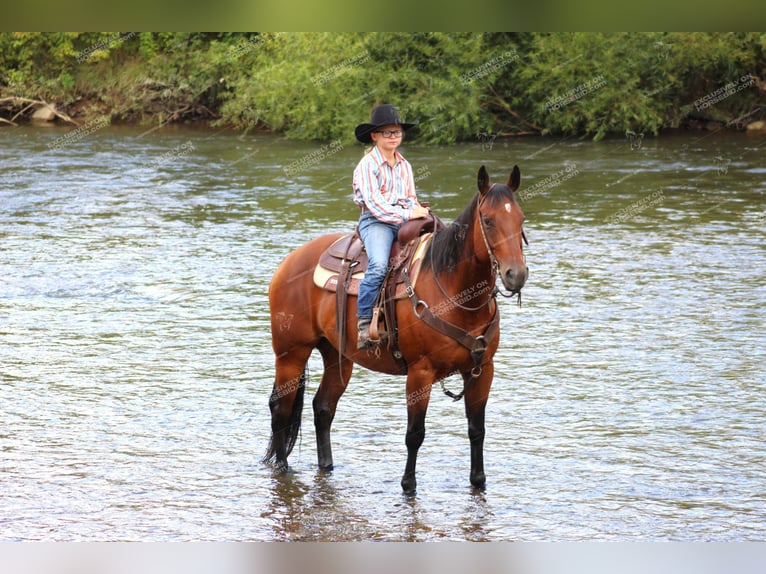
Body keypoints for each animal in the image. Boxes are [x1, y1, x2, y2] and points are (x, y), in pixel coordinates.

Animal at [264, 164, 528, 492]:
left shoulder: (482, 370)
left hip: (338, 356)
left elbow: (476, 429)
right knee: (281, 408)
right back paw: (283, 468)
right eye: (489, 220)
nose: (516, 274)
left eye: (521, 219)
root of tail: (289, 262)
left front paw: (478, 480)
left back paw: (326, 465)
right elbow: (415, 434)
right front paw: (408, 483)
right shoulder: (420, 373)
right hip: (291, 354)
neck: (455, 291)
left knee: (323, 408)